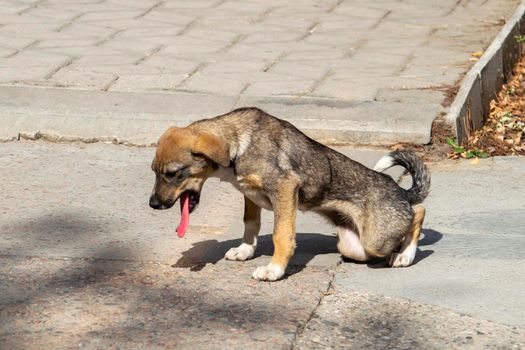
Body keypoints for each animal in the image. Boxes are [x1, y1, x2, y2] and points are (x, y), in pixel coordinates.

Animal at [149, 106, 428, 282]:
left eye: (173, 173)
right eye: (154, 171)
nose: (153, 204)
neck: (239, 147)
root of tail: (402, 193)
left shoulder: (284, 187)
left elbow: (280, 235)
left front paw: (274, 269)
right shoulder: (249, 194)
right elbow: (250, 224)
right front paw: (245, 250)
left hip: (375, 239)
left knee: (419, 211)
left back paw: (404, 255)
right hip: (354, 247)